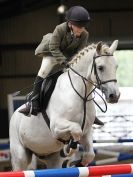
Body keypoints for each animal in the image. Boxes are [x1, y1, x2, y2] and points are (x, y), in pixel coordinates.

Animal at [9, 39, 119, 170]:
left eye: (116, 66)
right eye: (100, 67)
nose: (114, 95)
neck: (81, 95)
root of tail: (15, 114)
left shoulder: (87, 131)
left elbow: (89, 154)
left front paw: (77, 162)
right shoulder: (56, 126)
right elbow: (76, 130)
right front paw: (69, 149)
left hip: (52, 157)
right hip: (20, 155)